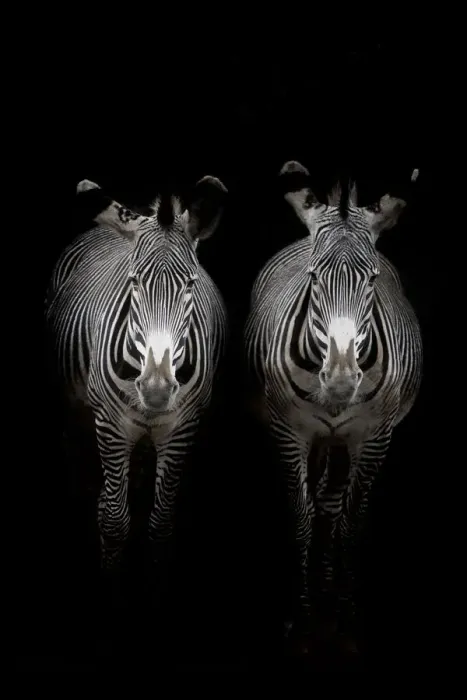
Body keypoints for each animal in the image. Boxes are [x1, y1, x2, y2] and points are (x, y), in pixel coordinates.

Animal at [45, 175, 228, 585]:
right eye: (134, 284)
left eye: (190, 285)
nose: (156, 390)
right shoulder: (110, 426)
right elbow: (114, 520)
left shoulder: (181, 429)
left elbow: (160, 525)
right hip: (76, 415)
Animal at [244, 161, 422, 653]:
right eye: (313, 278)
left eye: (372, 279)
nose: (341, 381)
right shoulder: (289, 432)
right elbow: (302, 517)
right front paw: (302, 617)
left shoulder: (374, 437)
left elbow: (350, 520)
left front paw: (345, 613)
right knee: (320, 500)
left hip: (343, 440)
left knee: (331, 501)